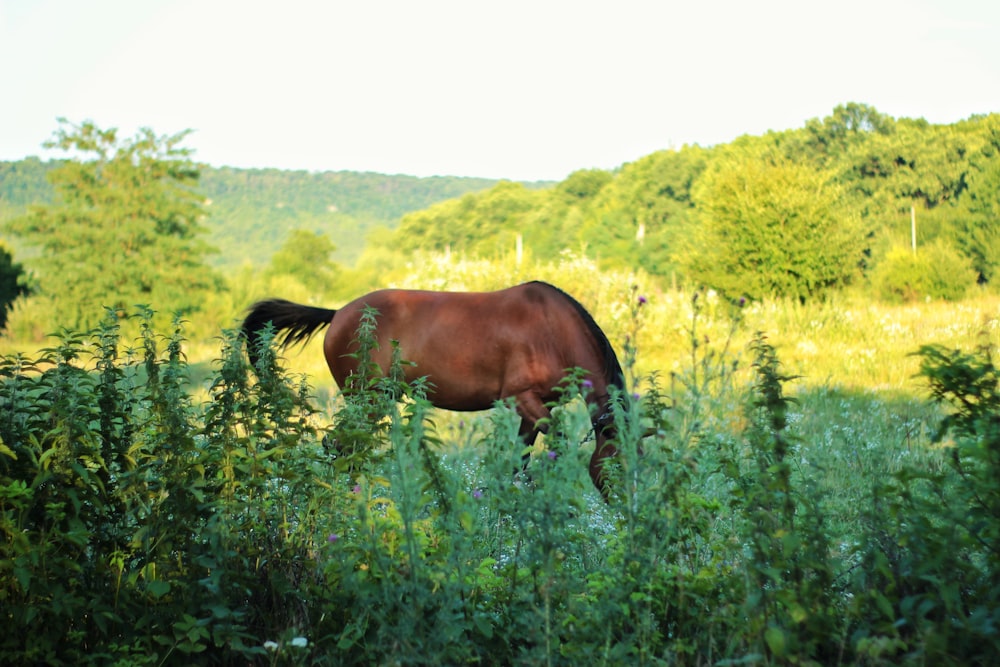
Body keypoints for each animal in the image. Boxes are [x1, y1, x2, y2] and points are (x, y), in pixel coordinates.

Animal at [240, 280, 624, 496]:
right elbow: (555, 442)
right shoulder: (521, 399)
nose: (624, 511)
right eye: (616, 463)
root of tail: (337, 314)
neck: (551, 330)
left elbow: (520, 461)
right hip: (368, 399)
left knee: (343, 446)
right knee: (341, 446)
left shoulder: (536, 409)